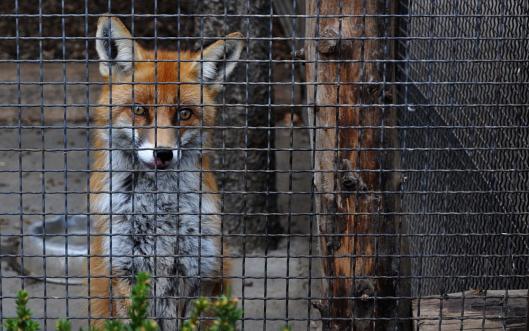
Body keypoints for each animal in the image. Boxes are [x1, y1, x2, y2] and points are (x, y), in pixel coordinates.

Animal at [88, 16, 241, 331]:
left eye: (184, 113)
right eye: (139, 110)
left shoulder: (199, 271)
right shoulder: (123, 268)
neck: (160, 210)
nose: (163, 153)